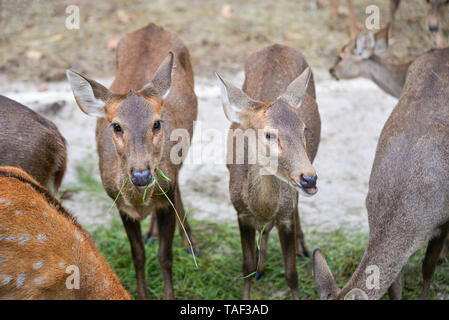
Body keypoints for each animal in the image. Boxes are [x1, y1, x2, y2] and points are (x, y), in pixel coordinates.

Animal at [67, 23, 198, 300]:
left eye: (157, 123)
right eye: (116, 126)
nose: (141, 175)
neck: (139, 201)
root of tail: (151, 26)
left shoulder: (166, 197)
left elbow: (165, 257)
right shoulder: (121, 206)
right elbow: (138, 256)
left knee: (179, 181)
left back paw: (190, 243)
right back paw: (153, 233)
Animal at [215, 43, 320, 298]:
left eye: (304, 129)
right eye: (270, 134)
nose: (309, 179)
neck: (262, 208)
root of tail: (277, 45)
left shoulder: (286, 217)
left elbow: (292, 274)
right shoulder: (240, 212)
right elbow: (246, 267)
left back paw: (302, 247)